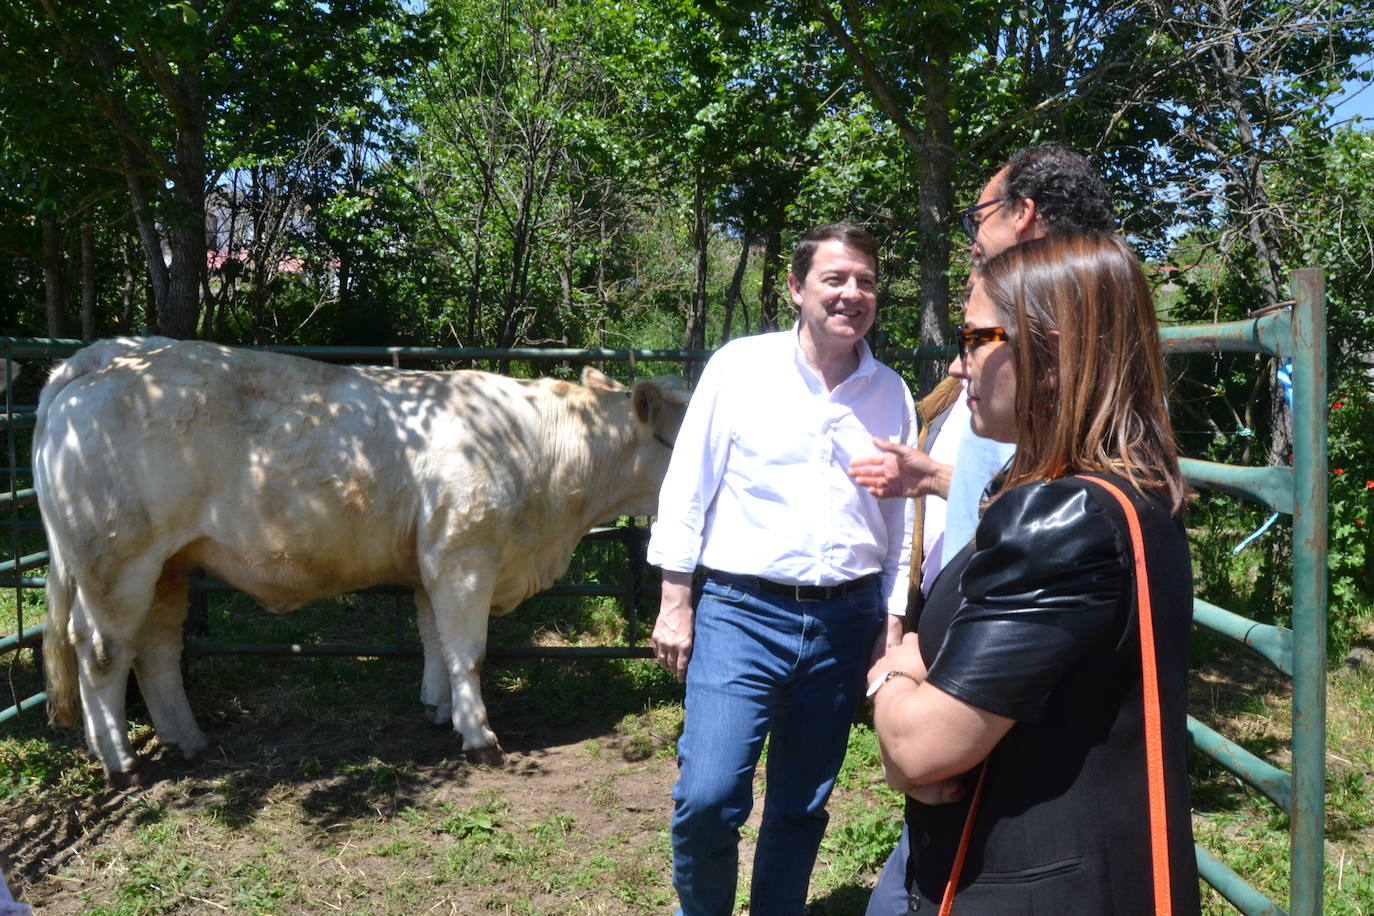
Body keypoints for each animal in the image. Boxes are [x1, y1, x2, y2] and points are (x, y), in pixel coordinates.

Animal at [34, 339, 687, 791]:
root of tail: (100, 358)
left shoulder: (432, 562)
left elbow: (434, 641)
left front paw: (439, 711)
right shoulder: (465, 555)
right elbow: (469, 652)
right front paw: (479, 737)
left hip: (167, 564)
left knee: (158, 649)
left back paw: (187, 740)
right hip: (115, 562)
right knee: (101, 652)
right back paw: (120, 762)